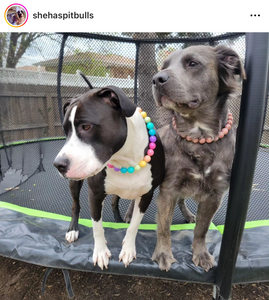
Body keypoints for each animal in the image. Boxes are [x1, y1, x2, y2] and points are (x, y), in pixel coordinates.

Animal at [53, 86, 164, 270]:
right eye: (65, 131)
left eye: (86, 126)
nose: (58, 164)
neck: (125, 159)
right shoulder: (95, 194)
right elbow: (97, 227)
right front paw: (100, 252)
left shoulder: (146, 196)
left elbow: (134, 225)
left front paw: (127, 249)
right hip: (74, 183)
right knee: (75, 205)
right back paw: (73, 229)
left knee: (114, 201)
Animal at [151, 45, 245, 272]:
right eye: (163, 67)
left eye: (193, 63)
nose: (156, 79)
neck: (199, 137)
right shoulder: (168, 190)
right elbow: (164, 227)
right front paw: (163, 253)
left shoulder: (214, 196)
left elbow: (201, 230)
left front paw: (201, 253)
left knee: (182, 200)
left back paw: (187, 214)